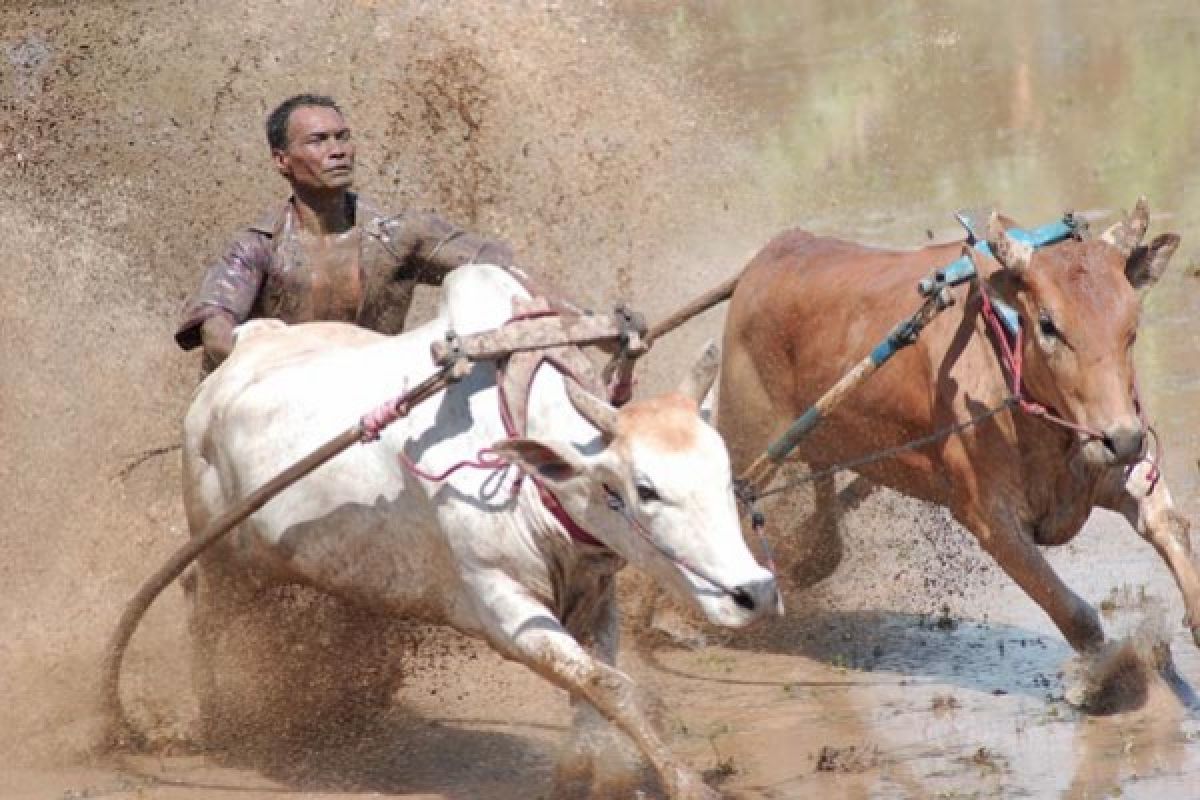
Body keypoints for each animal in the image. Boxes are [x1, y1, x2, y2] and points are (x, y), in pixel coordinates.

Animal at [180, 263, 777, 800]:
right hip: (221, 558)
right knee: (203, 616)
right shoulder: (503, 609)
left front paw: (589, 772)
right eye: (643, 489)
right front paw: (686, 784)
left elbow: (597, 687)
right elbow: (607, 684)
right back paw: (212, 722)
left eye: (724, 470)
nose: (757, 593)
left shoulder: (597, 593)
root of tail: (247, 344)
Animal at [715, 200, 1195, 657]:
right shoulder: (986, 518)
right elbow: (1077, 617)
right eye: (1048, 325)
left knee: (825, 529)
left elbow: (1169, 525)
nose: (1122, 438)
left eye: (1131, 327)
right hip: (743, 440)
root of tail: (768, 256)